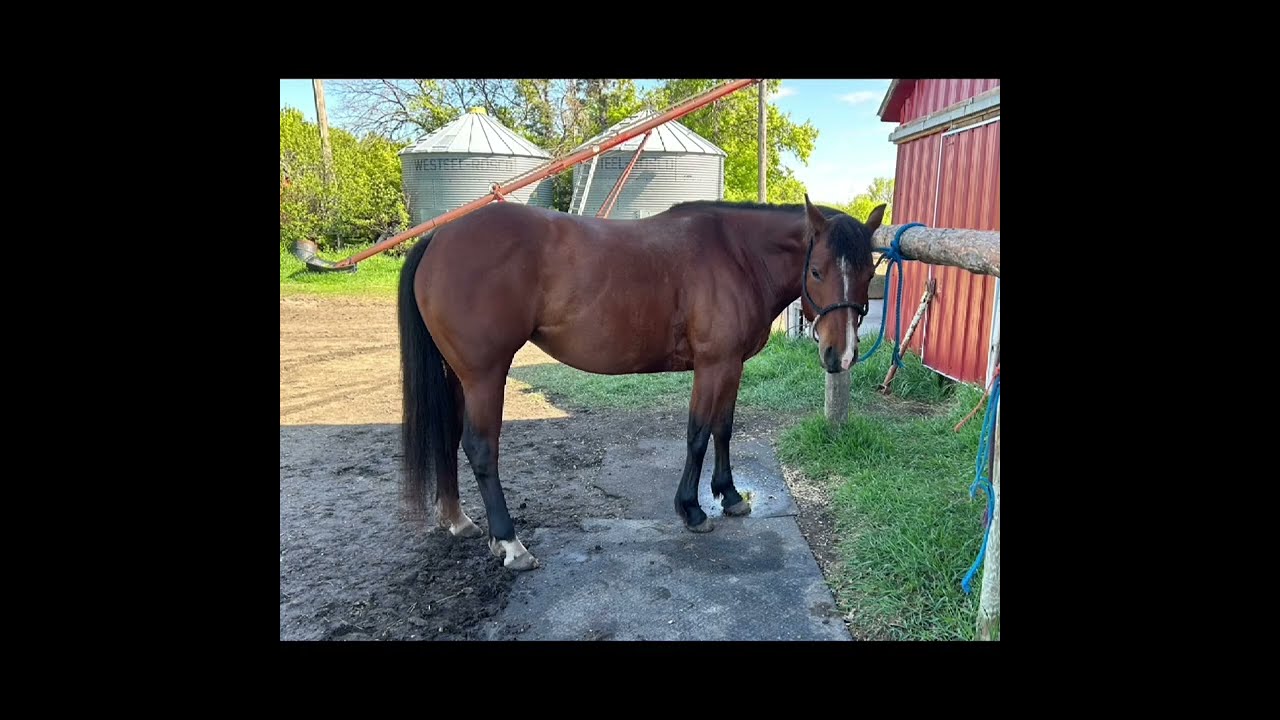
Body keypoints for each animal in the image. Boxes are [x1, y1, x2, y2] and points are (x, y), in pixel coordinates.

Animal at [397, 194, 886, 570]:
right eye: (817, 270)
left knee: (447, 437)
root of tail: (440, 237)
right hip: (485, 376)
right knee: (481, 448)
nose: (841, 355)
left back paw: (458, 520)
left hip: (460, 377)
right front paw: (691, 509)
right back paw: (511, 544)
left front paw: (729, 496)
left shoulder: (732, 366)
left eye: (868, 273)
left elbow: (724, 428)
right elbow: (697, 433)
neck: (737, 254)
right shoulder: (713, 365)